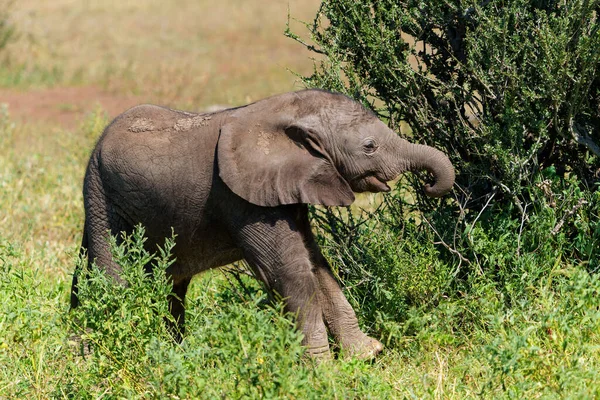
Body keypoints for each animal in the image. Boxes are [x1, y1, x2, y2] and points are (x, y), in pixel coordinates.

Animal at [71, 89, 454, 358]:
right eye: (370, 146)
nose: (428, 185)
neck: (287, 112)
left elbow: (315, 264)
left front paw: (367, 355)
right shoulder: (243, 198)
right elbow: (290, 272)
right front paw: (324, 371)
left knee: (164, 287)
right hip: (102, 198)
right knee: (111, 277)